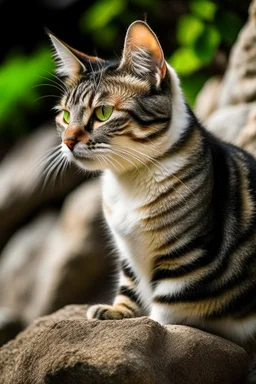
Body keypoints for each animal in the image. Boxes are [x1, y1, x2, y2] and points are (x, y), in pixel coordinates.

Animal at [48, 19, 256, 346]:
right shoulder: (128, 254)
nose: (68, 141)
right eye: (65, 116)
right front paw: (115, 312)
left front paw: (154, 328)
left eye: (103, 113)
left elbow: (166, 311)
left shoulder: (186, 256)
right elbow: (129, 285)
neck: (128, 182)